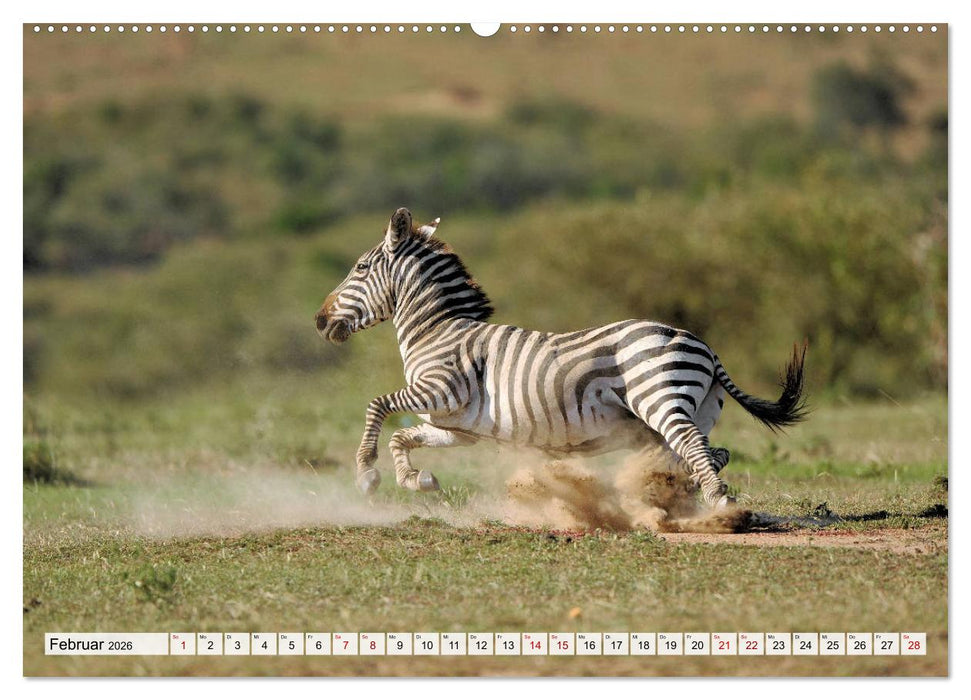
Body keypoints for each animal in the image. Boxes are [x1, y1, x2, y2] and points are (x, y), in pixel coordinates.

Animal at [315, 208, 807, 509]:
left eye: (360, 268)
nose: (320, 319)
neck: (438, 332)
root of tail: (703, 344)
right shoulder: (456, 426)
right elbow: (402, 438)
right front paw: (417, 481)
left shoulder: (442, 390)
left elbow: (377, 405)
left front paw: (366, 474)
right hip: (693, 411)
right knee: (707, 451)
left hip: (660, 399)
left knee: (694, 447)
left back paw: (718, 506)